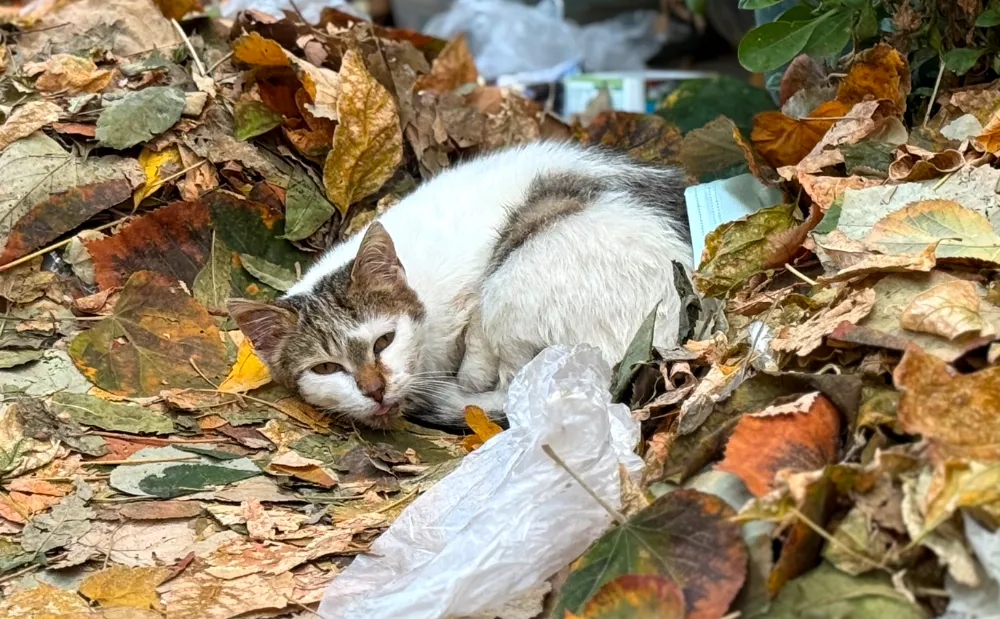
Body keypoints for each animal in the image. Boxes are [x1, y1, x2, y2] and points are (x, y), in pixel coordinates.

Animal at [229, 142, 692, 428]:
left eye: (384, 341)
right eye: (325, 369)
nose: (375, 390)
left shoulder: (478, 299)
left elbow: (477, 349)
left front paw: (465, 374)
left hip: (517, 275)